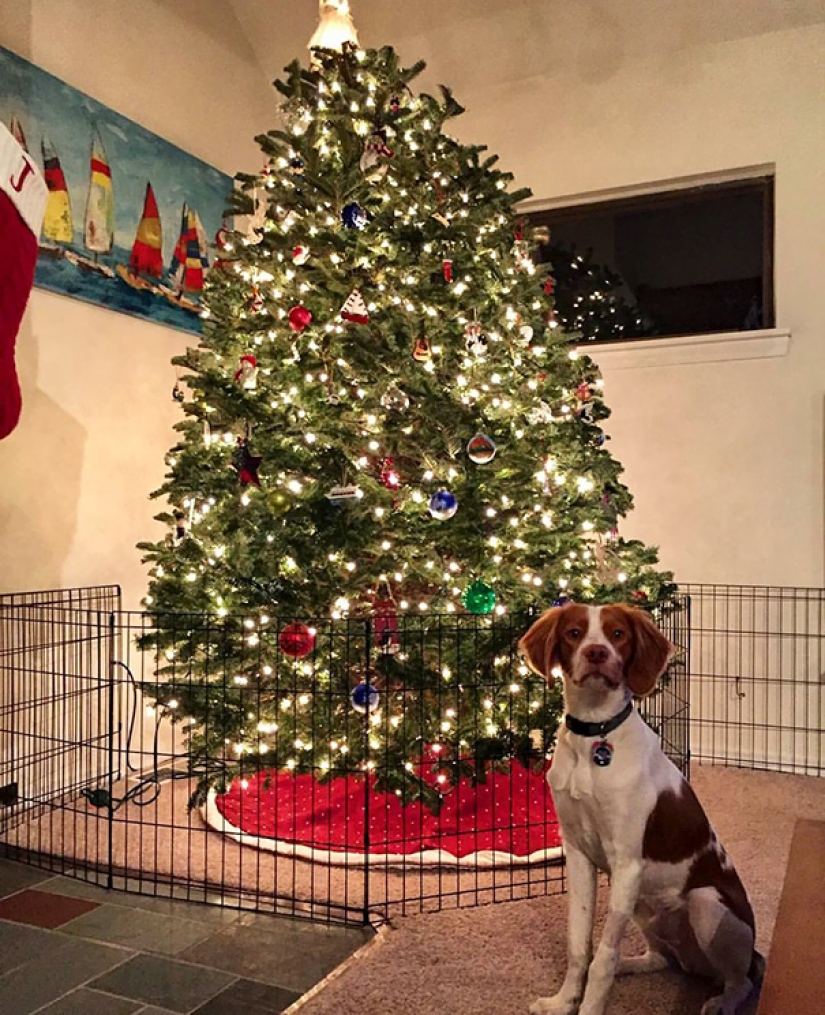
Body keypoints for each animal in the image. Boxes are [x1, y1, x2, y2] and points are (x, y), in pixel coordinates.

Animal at [517, 600, 763, 1015]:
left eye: (618, 634)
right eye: (574, 633)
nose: (596, 653)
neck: (595, 736)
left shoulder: (626, 862)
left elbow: (602, 957)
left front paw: (588, 1008)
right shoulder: (578, 853)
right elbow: (579, 944)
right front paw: (563, 1001)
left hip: (705, 903)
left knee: (740, 980)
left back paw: (719, 1002)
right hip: (642, 907)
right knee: (663, 959)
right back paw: (633, 965)